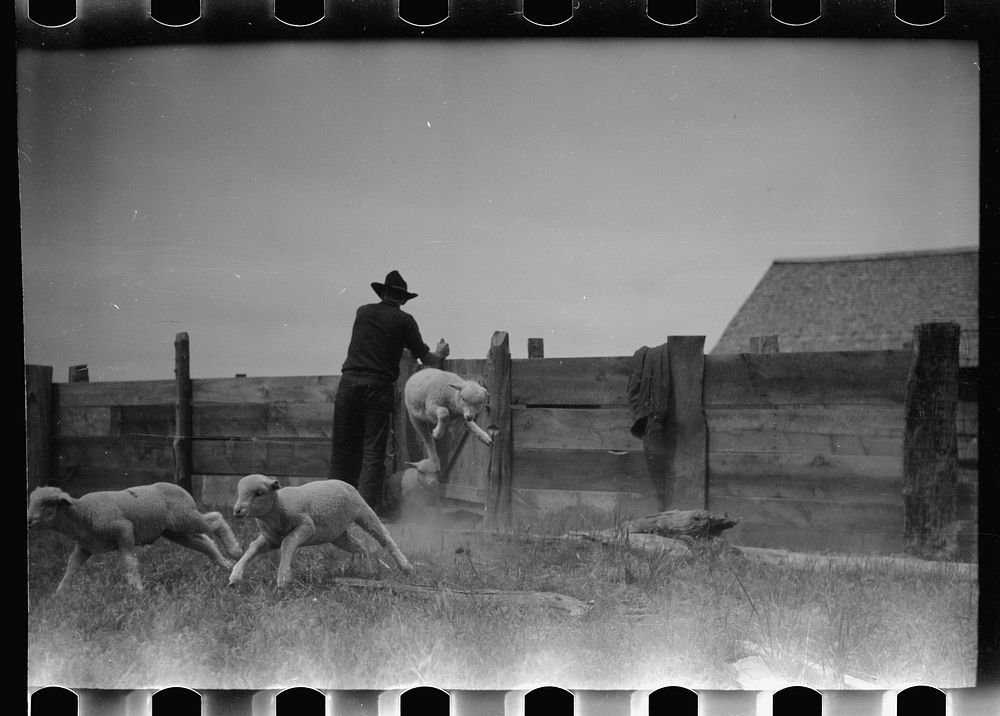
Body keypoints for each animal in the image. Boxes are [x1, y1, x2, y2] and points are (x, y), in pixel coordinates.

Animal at [26, 484, 242, 596]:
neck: (83, 515)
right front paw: (59, 594)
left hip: (185, 518)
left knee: (216, 519)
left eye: (49, 504)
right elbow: (71, 566)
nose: (28, 520)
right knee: (204, 541)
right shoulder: (85, 546)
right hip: (175, 530)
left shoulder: (124, 530)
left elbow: (128, 562)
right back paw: (225, 564)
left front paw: (137, 592)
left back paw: (234, 551)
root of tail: (182, 490)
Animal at [229, 476, 412, 588]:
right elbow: (253, 547)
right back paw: (367, 570)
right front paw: (234, 576)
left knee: (385, 538)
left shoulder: (306, 526)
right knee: (359, 545)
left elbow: (287, 543)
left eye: (259, 493)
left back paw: (406, 567)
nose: (237, 510)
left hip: (364, 511)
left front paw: (283, 579)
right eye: (239, 492)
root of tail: (343, 482)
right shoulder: (271, 538)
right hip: (336, 534)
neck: (278, 507)